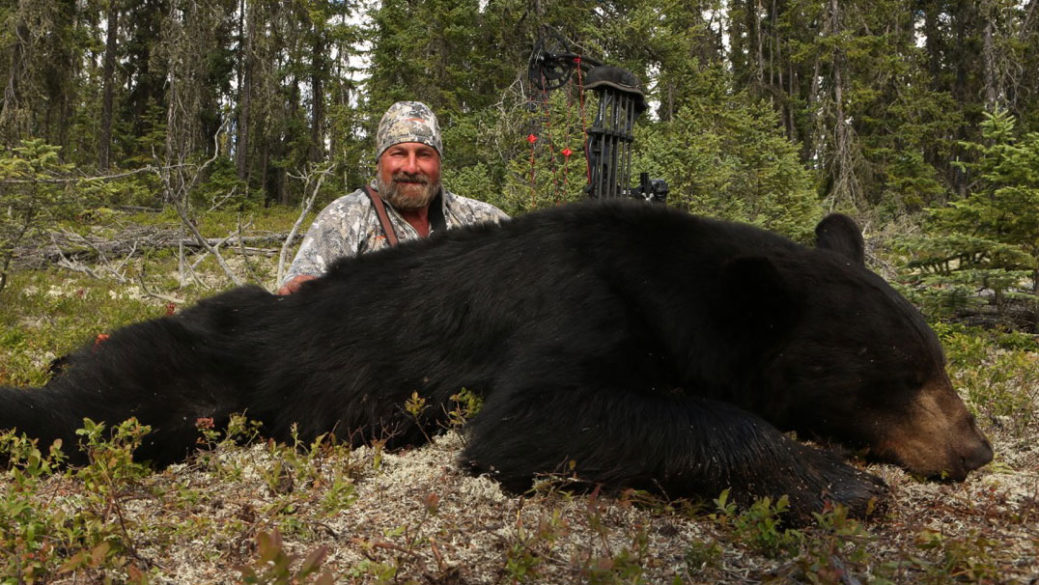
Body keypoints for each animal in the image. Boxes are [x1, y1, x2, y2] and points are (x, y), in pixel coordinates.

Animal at [0, 201, 992, 524]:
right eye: (902, 375)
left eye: (939, 361)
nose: (975, 448)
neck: (662, 282)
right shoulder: (568, 308)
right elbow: (532, 417)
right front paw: (840, 482)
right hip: (186, 377)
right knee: (77, 409)